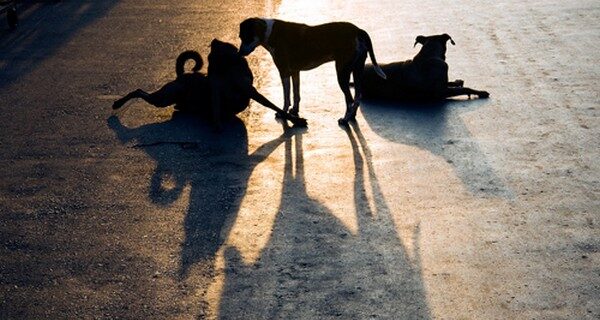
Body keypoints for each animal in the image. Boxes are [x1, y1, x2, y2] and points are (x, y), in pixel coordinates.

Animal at [112, 39, 308, 129]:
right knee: (139, 91)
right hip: (165, 96)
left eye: (220, 48)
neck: (228, 73)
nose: (214, 41)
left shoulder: (249, 91)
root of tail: (181, 76)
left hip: (169, 97)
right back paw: (118, 103)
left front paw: (294, 119)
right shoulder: (217, 88)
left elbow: (275, 106)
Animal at [237, 17, 386, 125]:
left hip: (342, 72)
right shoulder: (295, 72)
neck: (270, 33)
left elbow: (286, 96)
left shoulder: (284, 72)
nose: (239, 53)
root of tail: (358, 30)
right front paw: (294, 111)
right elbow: (296, 94)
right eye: (240, 37)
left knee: (349, 99)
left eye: (247, 37)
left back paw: (345, 120)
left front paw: (283, 113)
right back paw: (352, 116)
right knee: (357, 97)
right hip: (357, 70)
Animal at [358, 33, 490, 101]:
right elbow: (465, 88)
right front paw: (480, 92)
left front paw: (457, 81)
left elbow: (453, 83)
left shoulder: (444, 84)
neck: (429, 55)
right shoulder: (442, 91)